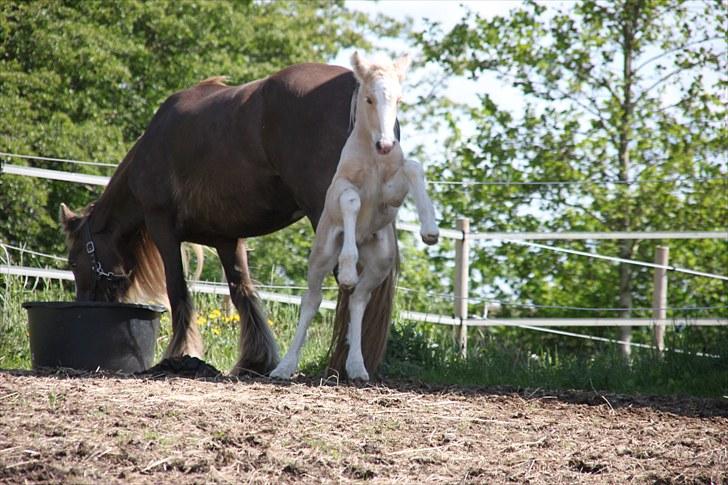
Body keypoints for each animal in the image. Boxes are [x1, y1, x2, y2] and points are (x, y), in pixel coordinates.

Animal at [59, 64, 396, 374]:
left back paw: (342, 362)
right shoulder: (226, 240)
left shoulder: (162, 228)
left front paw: (180, 353)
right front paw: (255, 359)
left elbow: (178, 291)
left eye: (74, 261)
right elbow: (242, 293)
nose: (83, 303)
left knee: (348, 285)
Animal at [268, 51, 436, 380]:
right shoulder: (340, 189)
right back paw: (284, 366)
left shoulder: (390, 196)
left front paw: (430, 230)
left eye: (399, 99)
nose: (386, 145)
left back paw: (357, 367)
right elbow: (351, 200)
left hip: (381, 261)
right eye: (369, 98)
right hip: (321, 254)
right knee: (312, 300)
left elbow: (413, 167)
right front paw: (346, 270)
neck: (373, 159)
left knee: (358, 299)